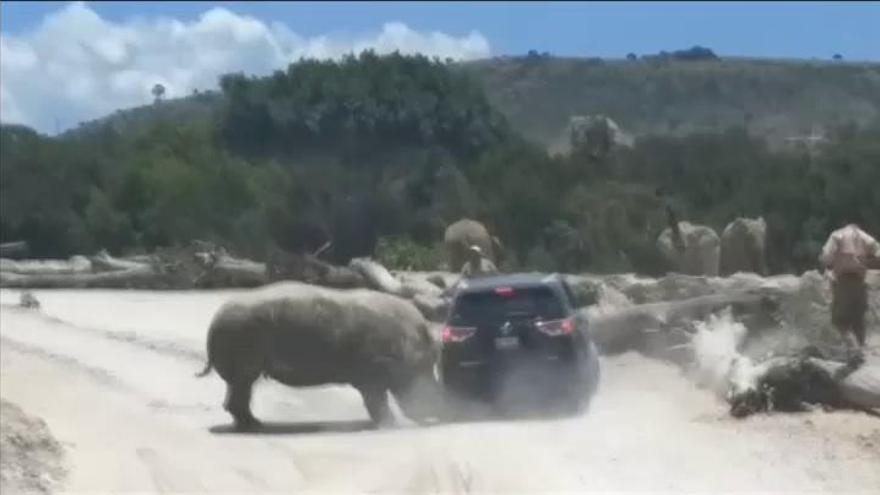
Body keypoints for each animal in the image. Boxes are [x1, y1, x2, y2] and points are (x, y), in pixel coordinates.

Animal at [201, 282, 446, 430]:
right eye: (425, 373)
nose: (437, 412)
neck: (411, 346)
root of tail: (214, 320)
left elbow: (376, 400)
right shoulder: (372, 372)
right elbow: (376, 400)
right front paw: (390, 425)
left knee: (239, 386)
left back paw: (254, 424)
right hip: (240, 334)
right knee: (242, 384)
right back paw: (256, 426)